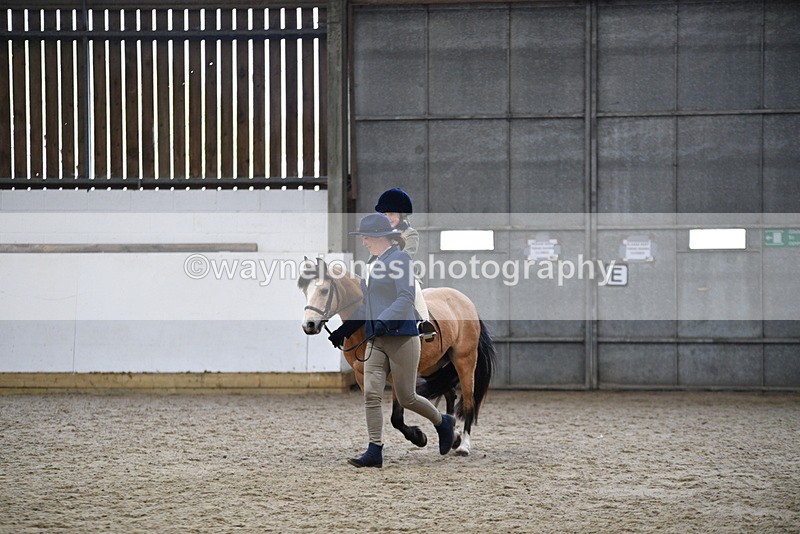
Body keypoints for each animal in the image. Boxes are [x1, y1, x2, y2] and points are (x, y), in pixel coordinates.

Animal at [298, 257, 496, 456]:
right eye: (305, 291)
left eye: (324, 290)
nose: (309, 325)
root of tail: (464, 300)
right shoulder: (361, 375)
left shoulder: (396, 374)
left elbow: (397, 418)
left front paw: (419, 438)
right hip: (433, 366)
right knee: (450, 394)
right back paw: (452, 436)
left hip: (465, 361)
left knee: (469, 401)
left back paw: (464, 445)